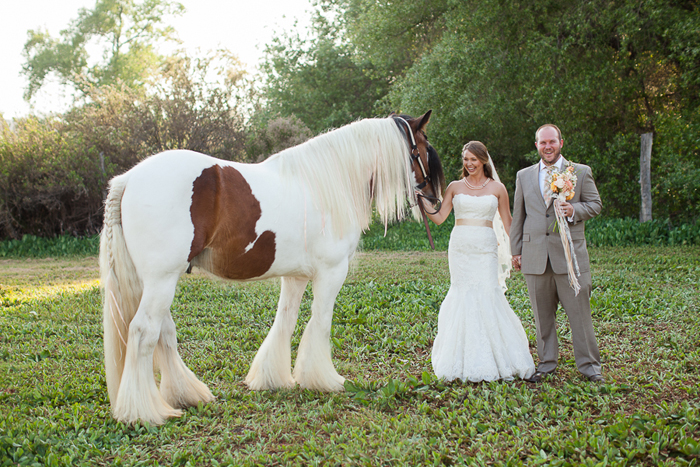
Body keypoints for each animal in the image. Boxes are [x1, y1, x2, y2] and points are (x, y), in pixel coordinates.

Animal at [100, 111, 442, 426]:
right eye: (423, 147)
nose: (436, 201)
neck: (329, 180)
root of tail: (128, 179)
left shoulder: (296, 276)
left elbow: (285, 322)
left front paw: (273, 379)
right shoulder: (331, 272)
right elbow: (320, 323)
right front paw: (323, 380)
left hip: (155, 282)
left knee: (164, 333)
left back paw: (185, 395)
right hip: (161, 280)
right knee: (144, 332)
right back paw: (143, 412)